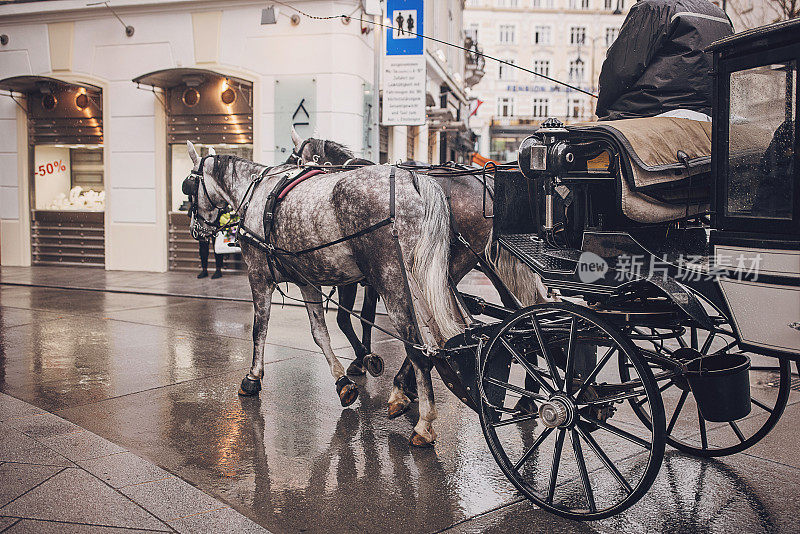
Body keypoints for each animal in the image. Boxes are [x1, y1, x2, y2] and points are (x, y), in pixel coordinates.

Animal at [187, 140, 460, 446]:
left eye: (188, 186)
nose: (195, 229)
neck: (255, 192)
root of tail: (412, 179)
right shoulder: (307, 282)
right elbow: (320, 333)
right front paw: (343, 382)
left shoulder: (258, 275)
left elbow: (260, 329)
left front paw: (253, 378)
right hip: (423, 282)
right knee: (439, 341)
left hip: (393, 281)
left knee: (417, 348)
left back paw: (423, 421)